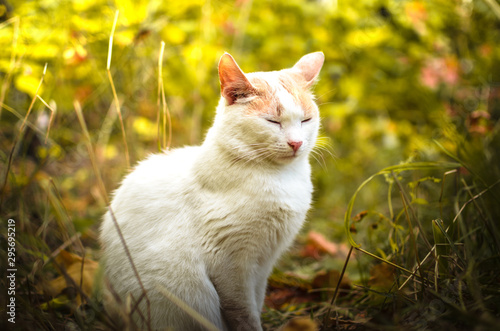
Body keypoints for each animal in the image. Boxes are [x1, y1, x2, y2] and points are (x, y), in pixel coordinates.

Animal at [98, 50, 324, 330]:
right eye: (272, 121)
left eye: (306, 120)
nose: (296, 143)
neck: (281, 177)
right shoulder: (231, 265)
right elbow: (244, 313)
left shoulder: (264, 263)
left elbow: (257, 301)